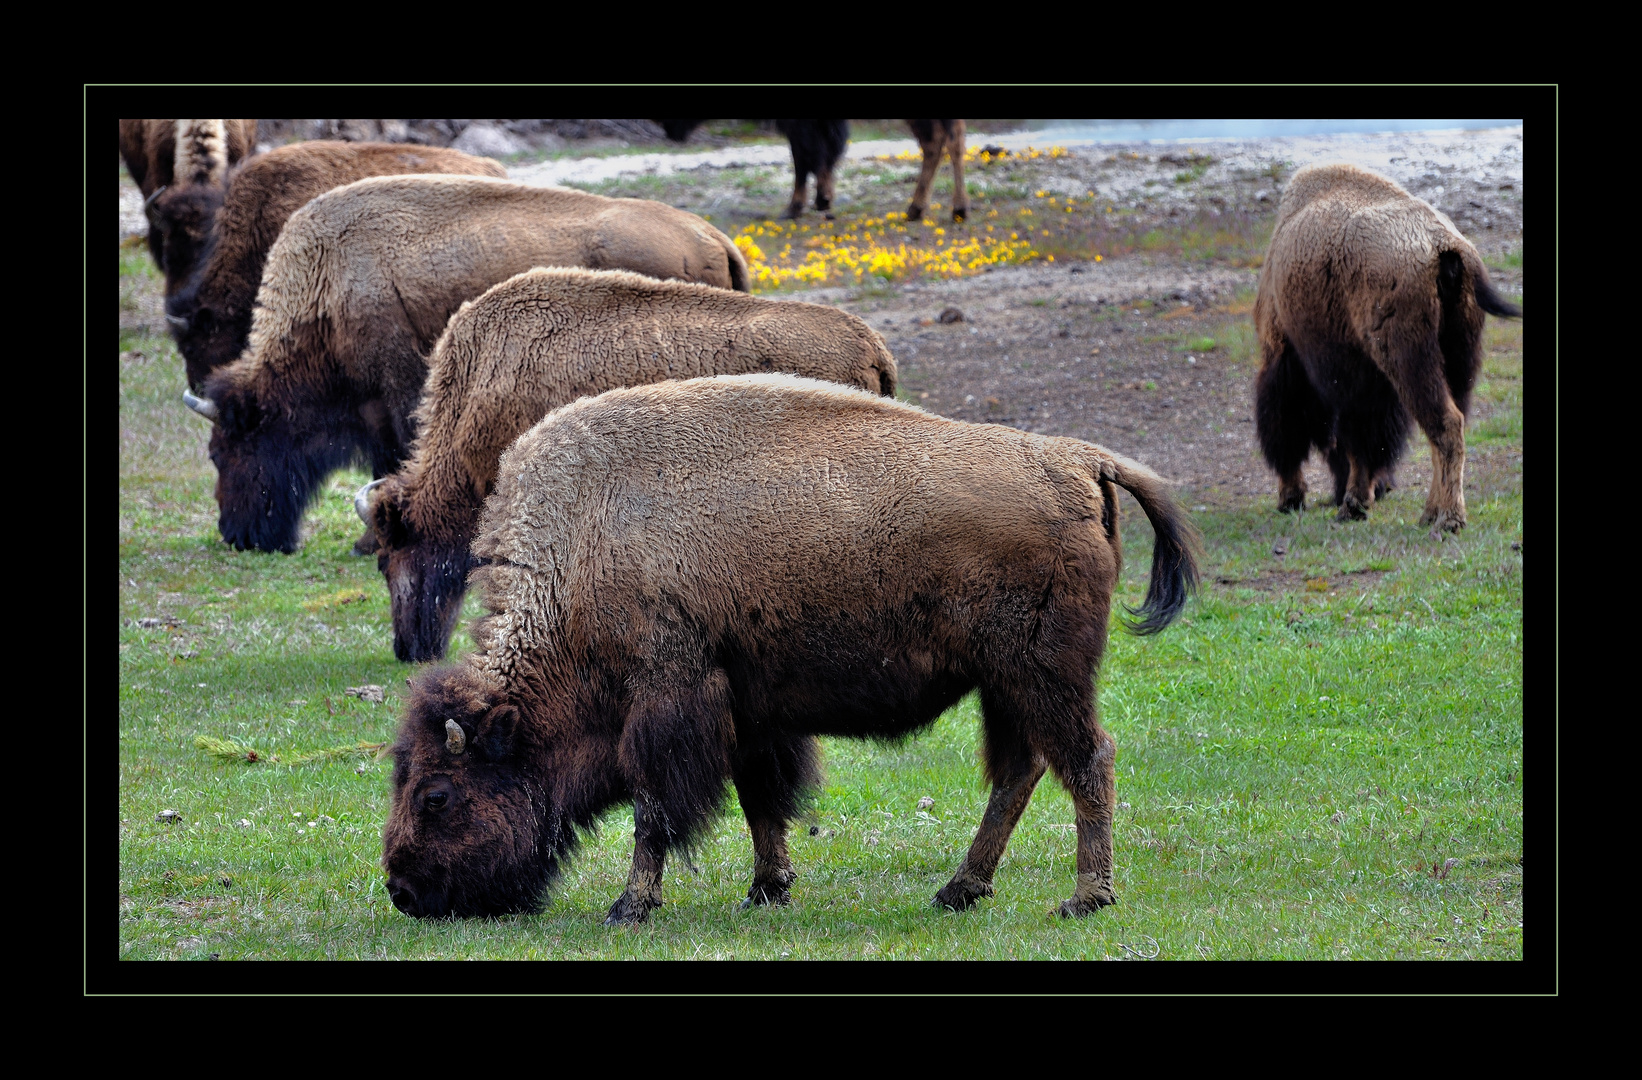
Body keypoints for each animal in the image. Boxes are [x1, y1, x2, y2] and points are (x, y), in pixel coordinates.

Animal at [181, 173, 752, 554]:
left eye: (224, 451)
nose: (236, 536)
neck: (331, 281)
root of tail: (714, 237)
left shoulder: (396, 395)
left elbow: (390, 459)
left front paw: (368, 540)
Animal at [385, 374, 1208, 919]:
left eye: (437, 794)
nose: (402, 888)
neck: (584, 548)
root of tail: (1078, 460)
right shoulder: (749, 712)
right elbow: (762, 798)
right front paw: (766, 890)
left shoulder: (666, 700)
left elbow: (655, 810)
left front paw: (630, 905)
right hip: (1003, 683)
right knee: (1020, 772)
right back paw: (959, 890)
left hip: (1043, 674)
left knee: (1085, 760)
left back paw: (1085, 898)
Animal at [1247, 161, 1517, 528]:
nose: (1289, 502)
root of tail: (1445, 247)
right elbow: (1369, 441)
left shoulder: (1293, 356)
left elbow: (1339, 437)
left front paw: (1343, 502)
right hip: (1458, 359)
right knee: (1452, 424)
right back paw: (1431, 513)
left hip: (1410, 362)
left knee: (1445, 425)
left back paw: (1448, 520)